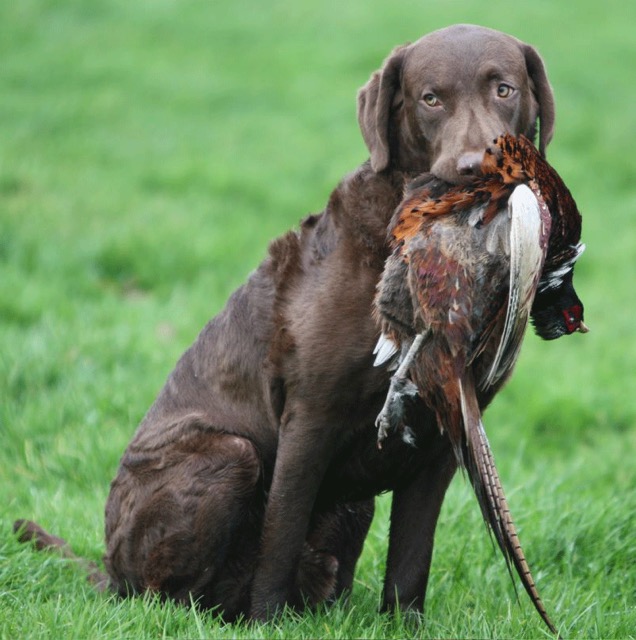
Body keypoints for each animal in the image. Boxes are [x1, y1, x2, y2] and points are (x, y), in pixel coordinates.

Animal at [14, 23, 556, 620]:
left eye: (504, 89)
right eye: (430, 99)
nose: (475, 169)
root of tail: (108, 572)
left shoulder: (446, 438)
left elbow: (411, 561)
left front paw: (403, 626)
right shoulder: (310, 416)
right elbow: (282, 534)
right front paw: (266, 623)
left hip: (352, 507)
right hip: (227, 455)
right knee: (164, 595)